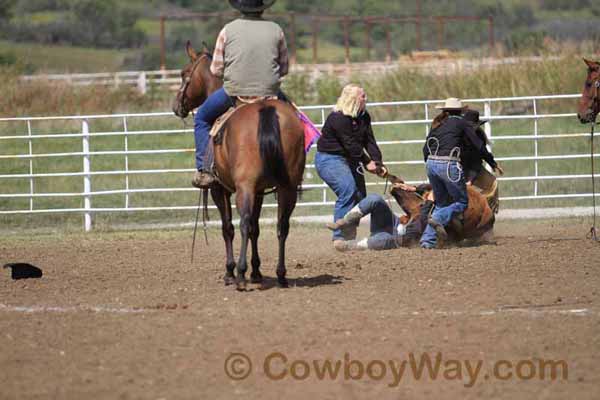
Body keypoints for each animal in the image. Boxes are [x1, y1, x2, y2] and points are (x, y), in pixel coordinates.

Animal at [172, 41, 304, 290]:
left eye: (184, 74)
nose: (176, 106)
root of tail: (265, 110)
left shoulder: (219, 189)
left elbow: (228, 228)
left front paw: (230, 271)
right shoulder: (260, 191)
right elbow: (256, 228)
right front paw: (257, 271)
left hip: (244, 186)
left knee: (242, 223)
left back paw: (240, 276)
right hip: (287, 187)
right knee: (282, 225)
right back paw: (281, 275)